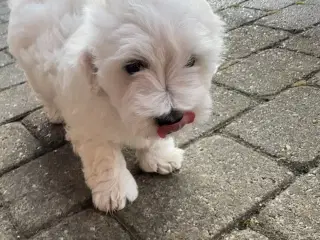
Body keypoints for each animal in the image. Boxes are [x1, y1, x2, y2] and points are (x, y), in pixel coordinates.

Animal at [6, 0, 222, 212]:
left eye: (191, 61)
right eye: (133, 66)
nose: (172, 118)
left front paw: (159, 157)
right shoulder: (89, 117)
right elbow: (104, 155)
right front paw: (113, 190)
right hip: (33, 70)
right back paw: (56, 113)